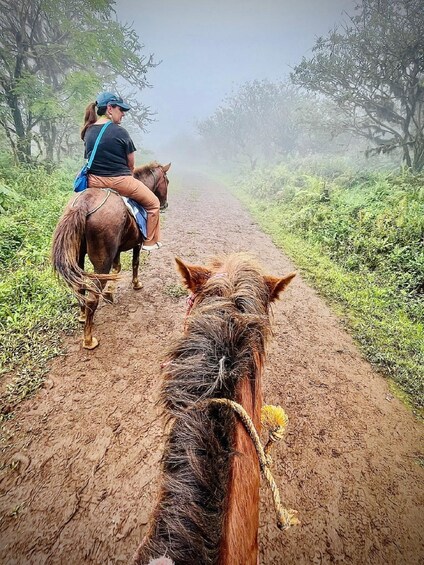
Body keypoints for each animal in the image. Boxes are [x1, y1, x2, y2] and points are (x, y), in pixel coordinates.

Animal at [52, 161, 171, 348]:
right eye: (167, 181)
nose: (165, 204)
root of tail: (84, 204)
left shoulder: (116, 249)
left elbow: (117, 268)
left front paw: (109, 293)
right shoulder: (137, 243)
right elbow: (135, 263)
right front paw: (136, 284)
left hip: (78, 256)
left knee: (80, 287)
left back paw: (83, 316)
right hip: (102, 262)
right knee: (92, 297)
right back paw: (89, 339)